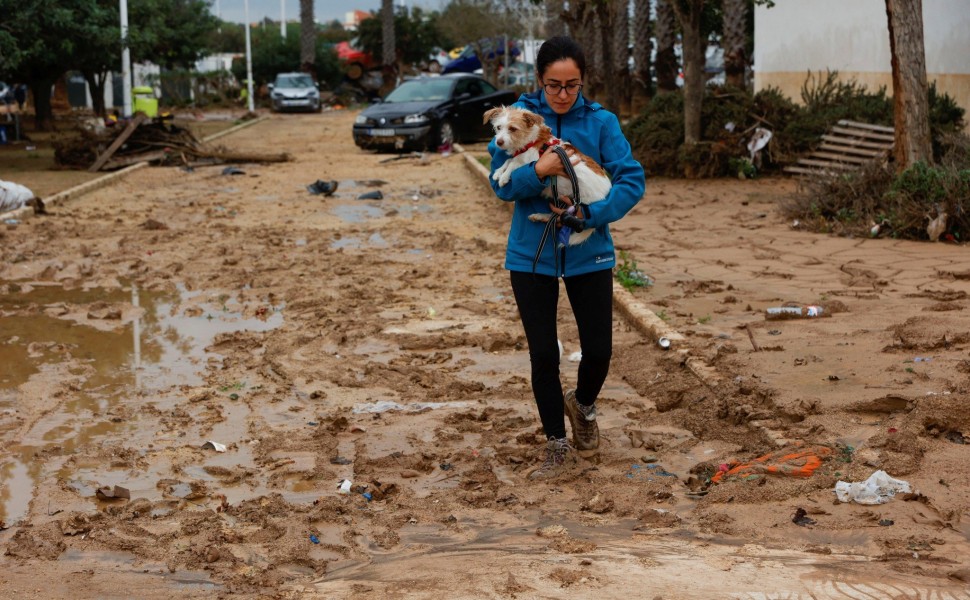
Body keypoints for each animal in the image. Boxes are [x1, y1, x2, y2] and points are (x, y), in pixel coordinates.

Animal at [484, 104, 612, 245]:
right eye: (498, 127)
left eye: (513, 128)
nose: (499, 142)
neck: (531, 141)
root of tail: (605, 195)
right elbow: (509, 160)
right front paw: (498, 172)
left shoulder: (535, 161)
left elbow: (513, 163)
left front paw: (504, 177)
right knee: (556, 216)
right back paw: (540, 216)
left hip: (576, 204)